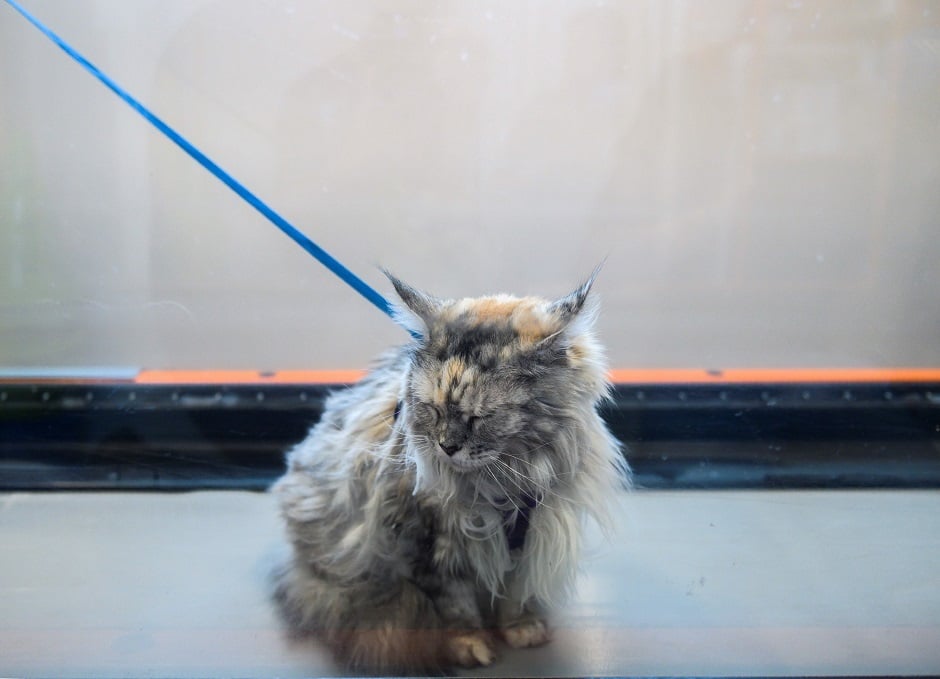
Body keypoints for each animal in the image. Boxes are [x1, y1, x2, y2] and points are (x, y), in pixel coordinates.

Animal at [268, 272, 628, 676]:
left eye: (481, 417)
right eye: (434, 410)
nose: (447, 446)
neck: (508, 480)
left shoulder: (527, 538)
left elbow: (515, 595)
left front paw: (521, 628)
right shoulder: (428, 540)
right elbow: (456, 606)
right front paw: (470, 645)